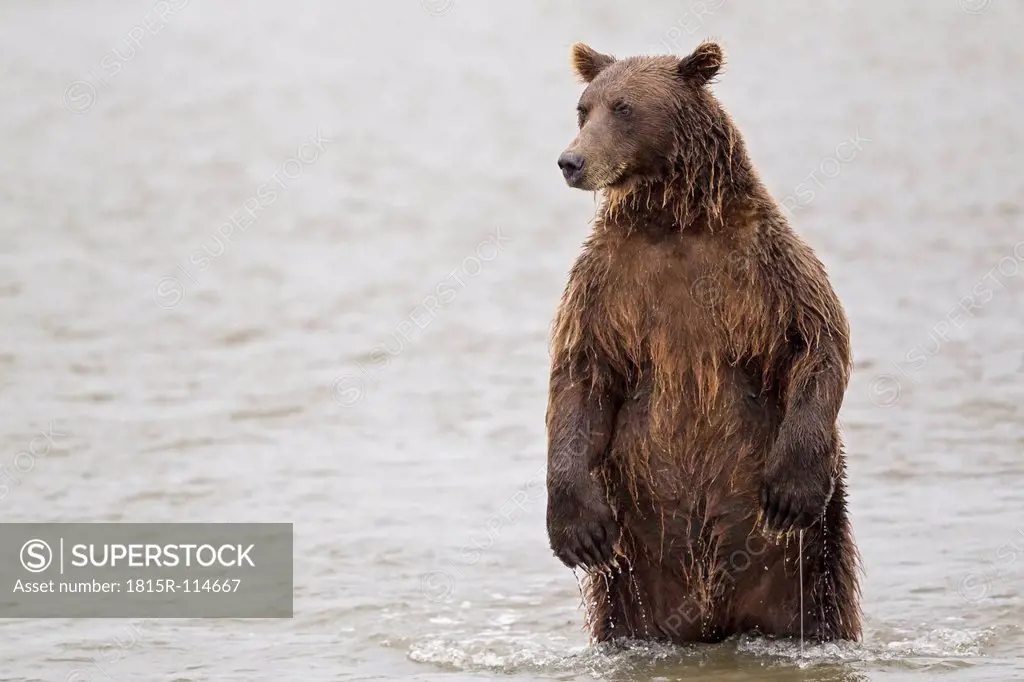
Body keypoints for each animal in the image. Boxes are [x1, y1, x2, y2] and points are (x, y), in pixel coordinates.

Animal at [548, 42, 860, 643]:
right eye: (582, 108)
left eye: (623, 108)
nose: (570, 162)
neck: (674, 220)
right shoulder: (604, 285)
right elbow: (579, 375)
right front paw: (577, 529)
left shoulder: (767, 263)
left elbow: (816, 339)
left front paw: (790, 489)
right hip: (635, 580)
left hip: (810, 562)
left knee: (822, 602)